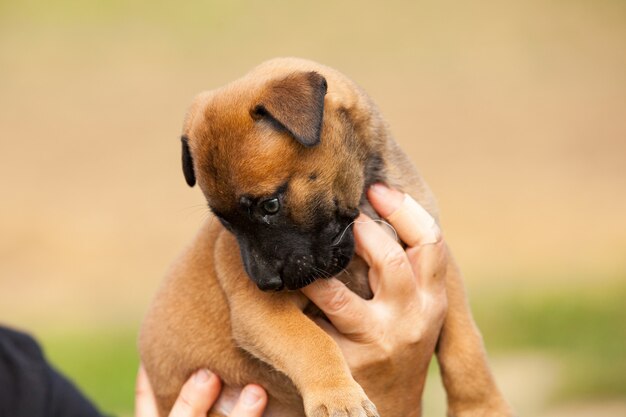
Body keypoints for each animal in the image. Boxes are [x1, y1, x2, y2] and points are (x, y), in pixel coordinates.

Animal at [139, 57, 510, 416]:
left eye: (270, 205)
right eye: (225, 223)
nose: (266, 283)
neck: (361, 198)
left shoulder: (438, 262)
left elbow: (465, 342)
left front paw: (483, 406)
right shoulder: (258, 310)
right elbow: (311, 341)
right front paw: (338, 397)